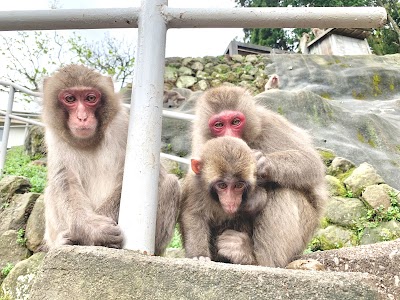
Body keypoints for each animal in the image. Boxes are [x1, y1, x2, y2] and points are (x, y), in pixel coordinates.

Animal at [42, 64, 180, 254]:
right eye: (70, 98)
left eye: (90, 98)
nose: (82, 117)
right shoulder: (55, 136)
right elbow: (65, 181)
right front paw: (94, 230)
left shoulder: (122, 124)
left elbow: (150, 175)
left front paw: (96, 233)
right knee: (52, 190)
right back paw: (63, 241)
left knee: (171, 183)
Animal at [180, 86, 326, 268]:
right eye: (219, 125)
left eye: (235, 122)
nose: (229, 137)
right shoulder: (201, 144)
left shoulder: (269, 124)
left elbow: (311, 163)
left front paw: (263, 163)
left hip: (307, 228)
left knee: (283, 191)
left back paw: (257, 259)